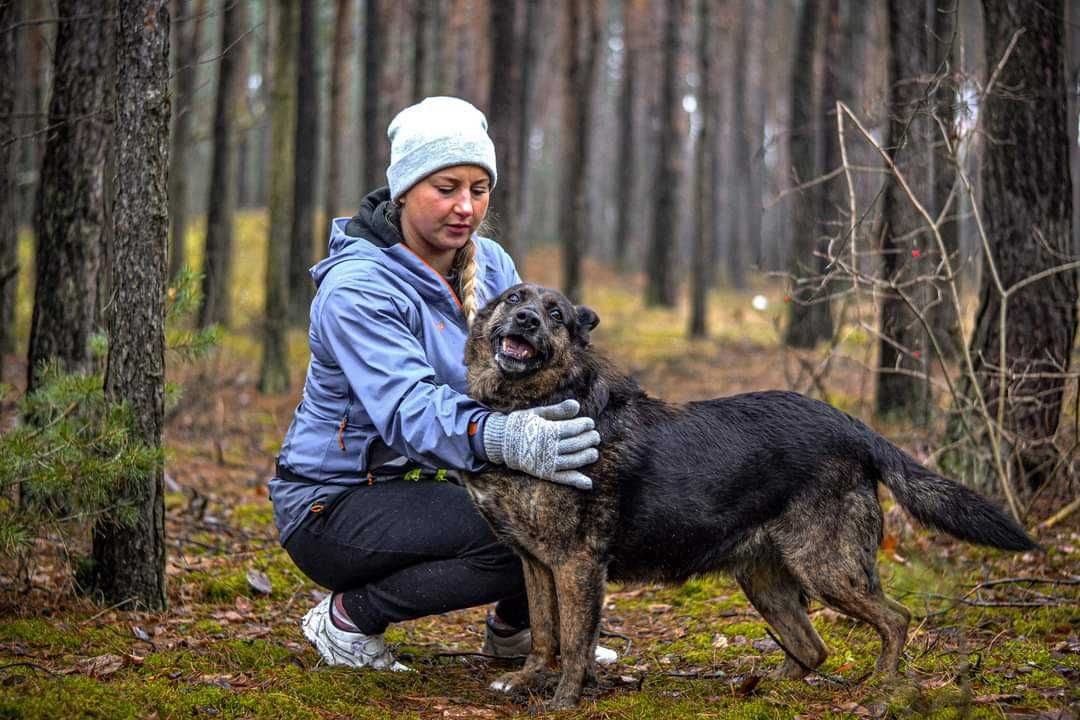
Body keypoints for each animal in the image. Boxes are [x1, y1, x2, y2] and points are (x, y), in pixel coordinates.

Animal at [464, 282, 1036, 708]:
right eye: (514, 299)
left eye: (556, 315)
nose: (527, 321)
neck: (535, 404)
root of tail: (855, 427)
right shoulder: (537, 563)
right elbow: (544, 634)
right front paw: (527, 681)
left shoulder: (578, 564)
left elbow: (575, 641)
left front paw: (565, 698)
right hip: (766, 580)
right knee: (813, 647)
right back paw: (771, 687)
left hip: (826, 566)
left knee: (895, 619)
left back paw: (882, 689)